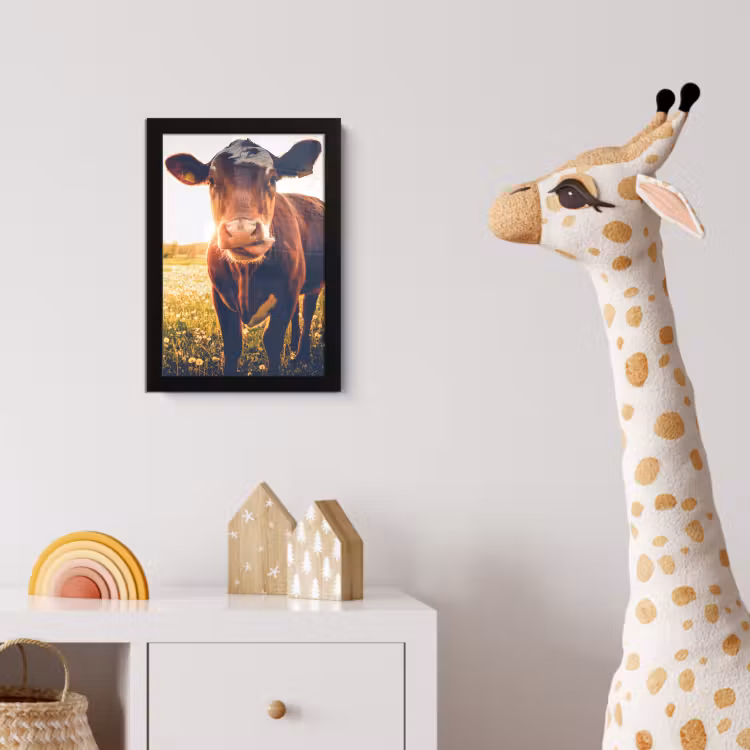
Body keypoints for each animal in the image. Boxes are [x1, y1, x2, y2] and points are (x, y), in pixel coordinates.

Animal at [165, 138, 324, 376]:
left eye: (273, 178)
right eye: (211, 180)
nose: (241, 231)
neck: (246, 274)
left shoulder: (287, 293)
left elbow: (272, 342)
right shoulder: (219, 295)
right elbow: (232, 345)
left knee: (307, 312)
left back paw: (302, 354)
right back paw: (294, 346)